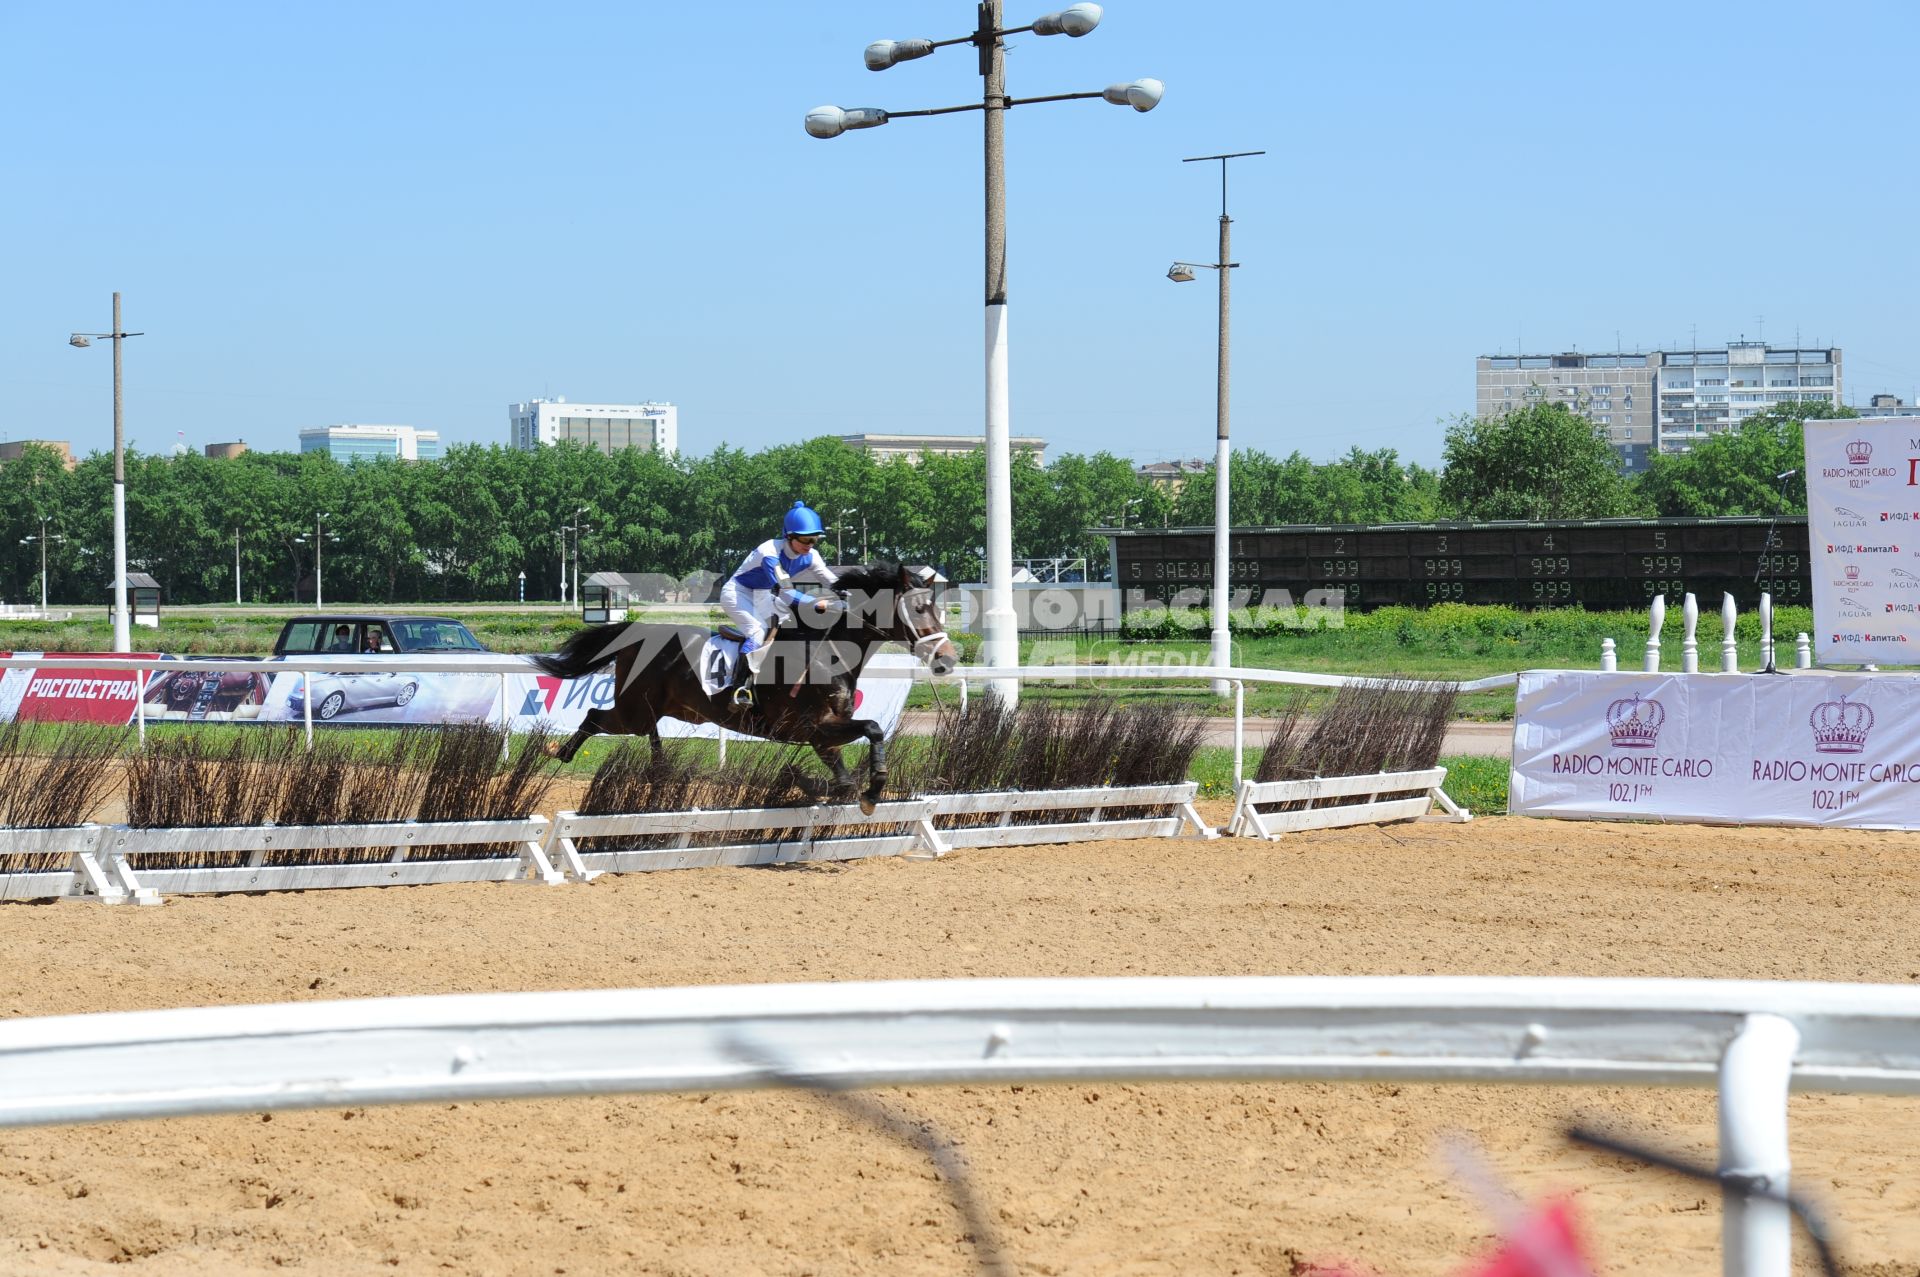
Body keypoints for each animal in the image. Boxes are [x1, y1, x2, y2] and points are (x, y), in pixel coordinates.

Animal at [529, 564, 956, 810]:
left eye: (937, 606)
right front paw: (868, 788)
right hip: (631, 711)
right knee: (593, 715)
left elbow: (844, 770)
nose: (947, 659)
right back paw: (556, 750)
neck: (829, 654)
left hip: (655, 710)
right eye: (920, 608)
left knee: (646, 736)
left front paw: (828, 785)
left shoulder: (821, 735)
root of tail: (635, 634)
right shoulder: (809, 727)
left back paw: (657, 778)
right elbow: (873, 728)